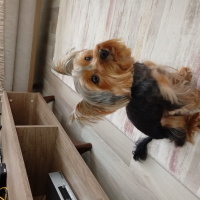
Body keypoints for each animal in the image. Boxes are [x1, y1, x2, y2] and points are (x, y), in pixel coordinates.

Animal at [53, 39, 200, 161]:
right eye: (95, 79)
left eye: (87, 58)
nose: (102, 52)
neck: (133, 79)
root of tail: (158, 136)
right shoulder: (167, 96)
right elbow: (187, 98)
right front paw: (197, 95)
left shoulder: (160, 77)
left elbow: (176, 79)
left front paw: (185, 74)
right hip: (167, 122)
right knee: (182, 133)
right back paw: (194, 121)